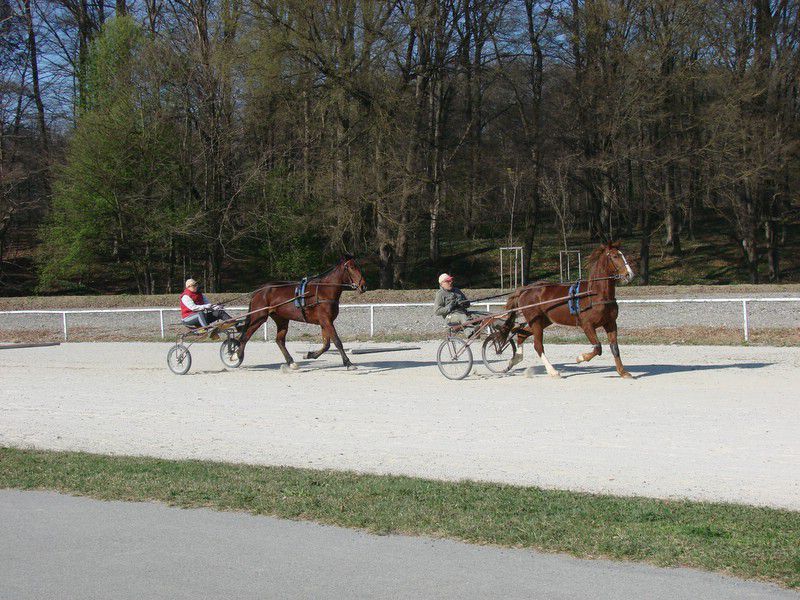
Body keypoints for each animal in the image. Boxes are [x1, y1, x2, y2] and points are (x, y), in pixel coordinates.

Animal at [234, 254, 366, 368]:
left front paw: (310, 354)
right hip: (258, 317)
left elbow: (326, 344)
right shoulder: (326, 320)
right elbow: (337, 342)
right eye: (352, 267)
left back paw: (291, 362)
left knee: (279, 340)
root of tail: (259, 290)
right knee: (245, 337)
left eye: (358, 266)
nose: (363, 286)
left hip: (281, 319)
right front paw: (348, 363)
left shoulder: (325, 322)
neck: (324, 291)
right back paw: (236, 356)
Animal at [500, 241, 636, 378]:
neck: (596, 294)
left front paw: (622, 372)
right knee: (538, 345)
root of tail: (525, 289)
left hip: (543, 321)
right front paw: (581, 358)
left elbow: (615, 348)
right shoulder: (587, 325)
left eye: (622, 255)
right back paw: (552, 371)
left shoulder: (610, 323)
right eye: (615, 256)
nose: (629, 275)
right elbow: (598, 347)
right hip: (536, 321)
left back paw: (514, 360)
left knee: (521, 333)